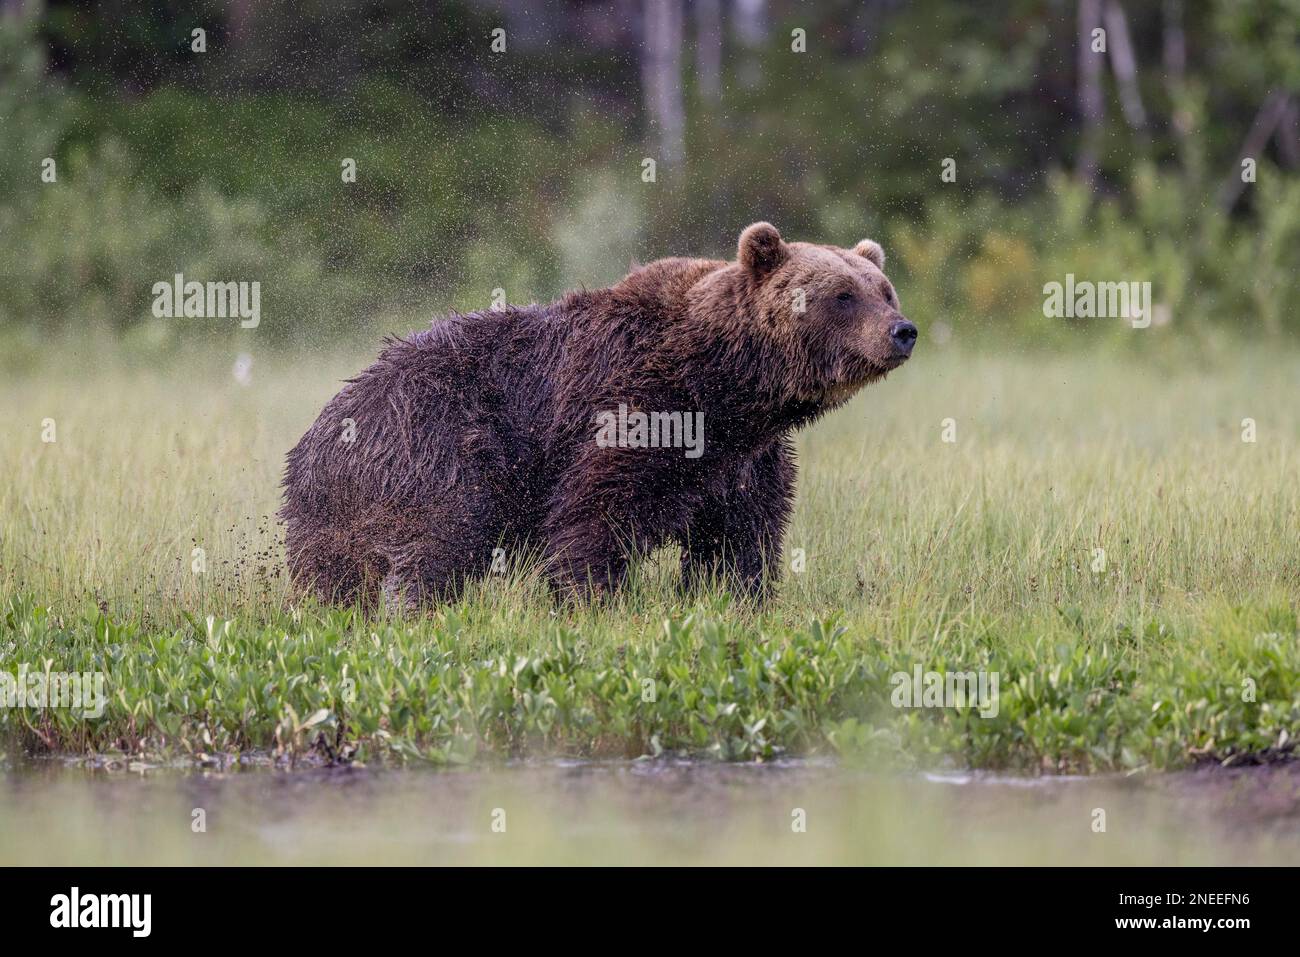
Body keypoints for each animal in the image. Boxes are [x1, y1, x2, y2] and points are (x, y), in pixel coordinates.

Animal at [283, 223, 915, 605]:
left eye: (884, 290)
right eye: (843, 295)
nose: (902, 331)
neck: (726, 386)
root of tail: (317, 432)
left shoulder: (747, 458)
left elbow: (738, 538)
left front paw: (734, 597)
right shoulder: (638, 408)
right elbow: (596, 518)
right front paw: (592, 599)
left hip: (333, 512)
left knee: (336, 573)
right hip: (429, 446)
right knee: (443, 535)